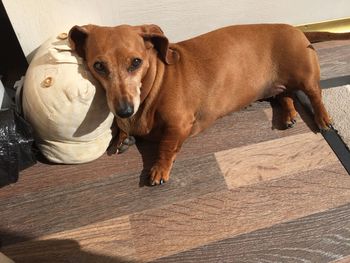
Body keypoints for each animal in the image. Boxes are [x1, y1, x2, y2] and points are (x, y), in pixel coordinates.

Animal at [68, 24, 350, 186]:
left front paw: (159, 168)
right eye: (98, 66)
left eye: (136, 62)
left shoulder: (180, 123)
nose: (124, 110)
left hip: (305, 76)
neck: (156, 81)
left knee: (315, 95)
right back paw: (288, 115)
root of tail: (296, 28)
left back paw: (324, 118)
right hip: (270, 86)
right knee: (285, 95)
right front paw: (121, 137)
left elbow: (167, 145)